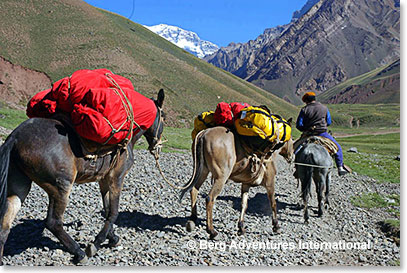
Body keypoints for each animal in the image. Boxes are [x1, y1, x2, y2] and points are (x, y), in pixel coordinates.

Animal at [0, 88, 166, 262]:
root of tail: (15, 137)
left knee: (4, 227)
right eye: (164, 117)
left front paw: (112, 238)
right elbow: (114, 212)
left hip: (19, 188)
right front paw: (97, 243)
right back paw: (78, 252)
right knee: (53, 222)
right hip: (61, 187)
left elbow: (107, 209)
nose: (157, 145)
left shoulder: (104, 180)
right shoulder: (117, 178)